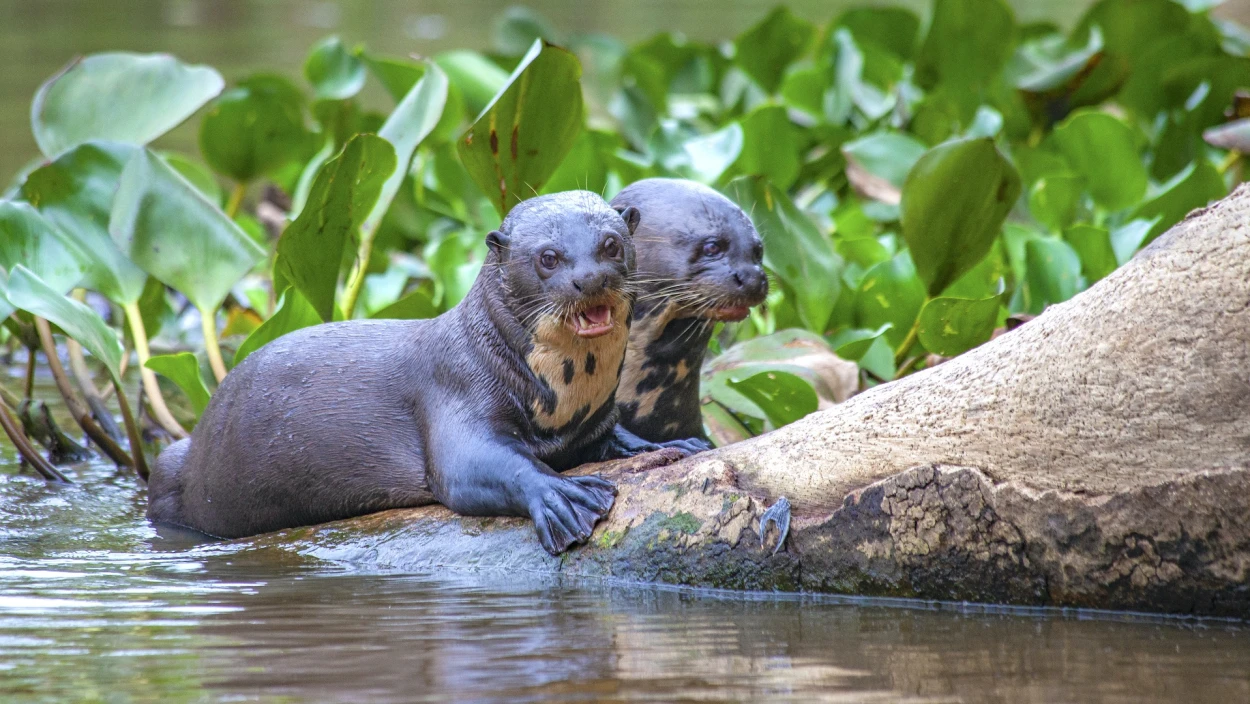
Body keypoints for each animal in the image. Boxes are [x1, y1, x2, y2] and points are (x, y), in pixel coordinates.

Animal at [146, 190, 705, 552]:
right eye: (549, 257)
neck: (568, 396)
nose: (590, 279)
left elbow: (621, 438)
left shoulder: (594, 420)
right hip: (175, 468)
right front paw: (563, 496)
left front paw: (674, 445)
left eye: (611, 244)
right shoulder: (458, 389)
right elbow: (475, 467)